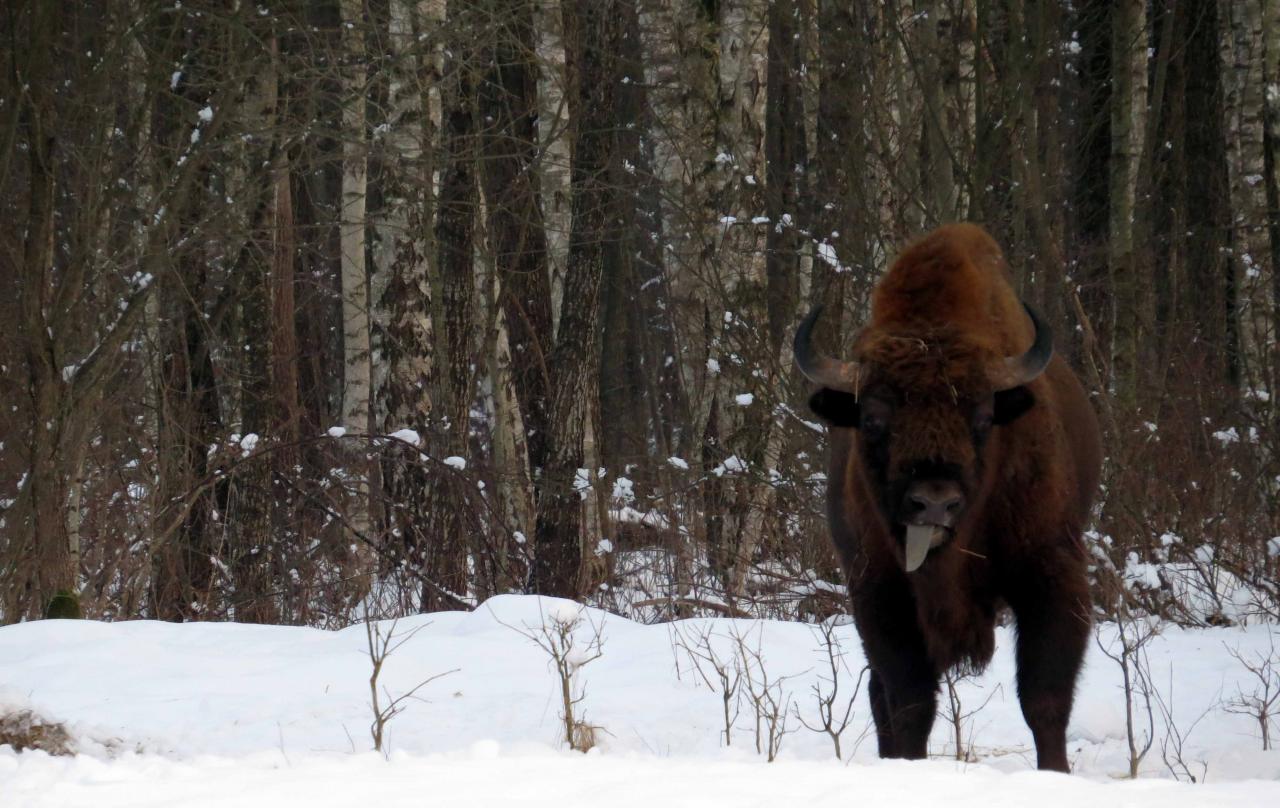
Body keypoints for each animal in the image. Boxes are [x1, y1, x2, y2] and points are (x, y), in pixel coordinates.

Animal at [788, 222, 1100, 773]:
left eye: (983, 417)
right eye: (874, 418)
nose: (934, 501)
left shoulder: (1053, 574)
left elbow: (1044, 696)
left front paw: (1056, 774)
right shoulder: (878, 592)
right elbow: (911, 700)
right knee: (881, 695)